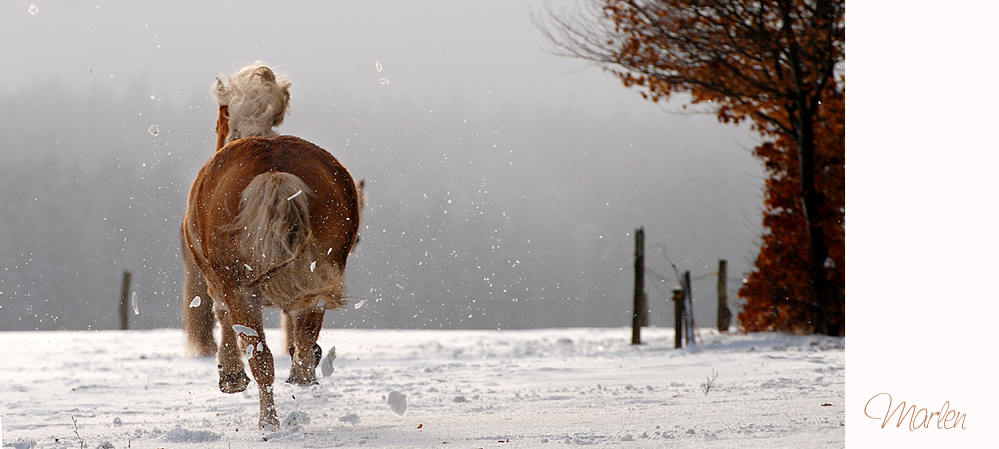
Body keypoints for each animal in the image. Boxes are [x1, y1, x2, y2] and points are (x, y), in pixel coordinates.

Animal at [181, 62, 364, 428]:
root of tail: (274, 171)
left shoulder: (217, 282)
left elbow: (223, 319)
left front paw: (230, 376)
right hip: (321, 270)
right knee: (305, 335)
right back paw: (303, 373)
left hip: (240, 288)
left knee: (261, 359)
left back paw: (269, 422)